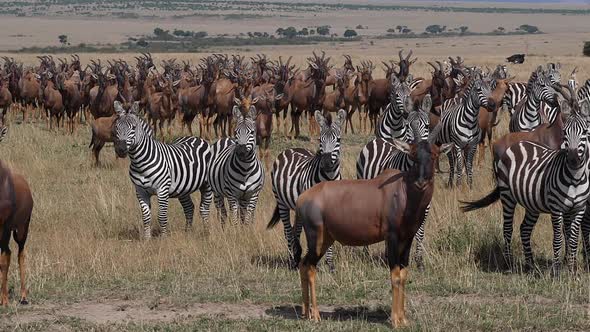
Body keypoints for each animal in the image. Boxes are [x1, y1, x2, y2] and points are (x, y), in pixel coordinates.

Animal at [112, 101, 214, 239]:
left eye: (133, 127)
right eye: (117, 128)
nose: (121, 150)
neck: (140, 162)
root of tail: (196, 138)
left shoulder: (162, 190)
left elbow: (162, 217)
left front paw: (164, 238)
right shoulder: (140, 191)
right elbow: (146, 217)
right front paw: (147, 239)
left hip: (206, 185)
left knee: (204, 208)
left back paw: (207, 233)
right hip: (183, 189)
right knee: (189, 207)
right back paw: (188, 232)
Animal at [268, 109, 346, 270]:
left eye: (338, 140)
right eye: (320, 140)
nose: (327, 163)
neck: (328, 179)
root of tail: (291, 148)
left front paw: (330, 264)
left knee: (295, 230)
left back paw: (297, 256)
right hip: (281, 201)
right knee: (288, 231)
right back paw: (292, 260)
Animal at [296, 122, 444, 326]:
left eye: (435, 155)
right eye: (413, 155)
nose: (421, 183)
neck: (403, 190)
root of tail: (302, 198)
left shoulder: (407, 238)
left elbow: (403, 275)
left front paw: (403, 319)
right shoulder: (391, 237)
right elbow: (395, 275)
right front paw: (395, 320)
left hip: (326, 240)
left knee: (304, 265)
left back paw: (305, 312)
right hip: (315, 238)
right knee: (310, 267)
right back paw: (316, 315)